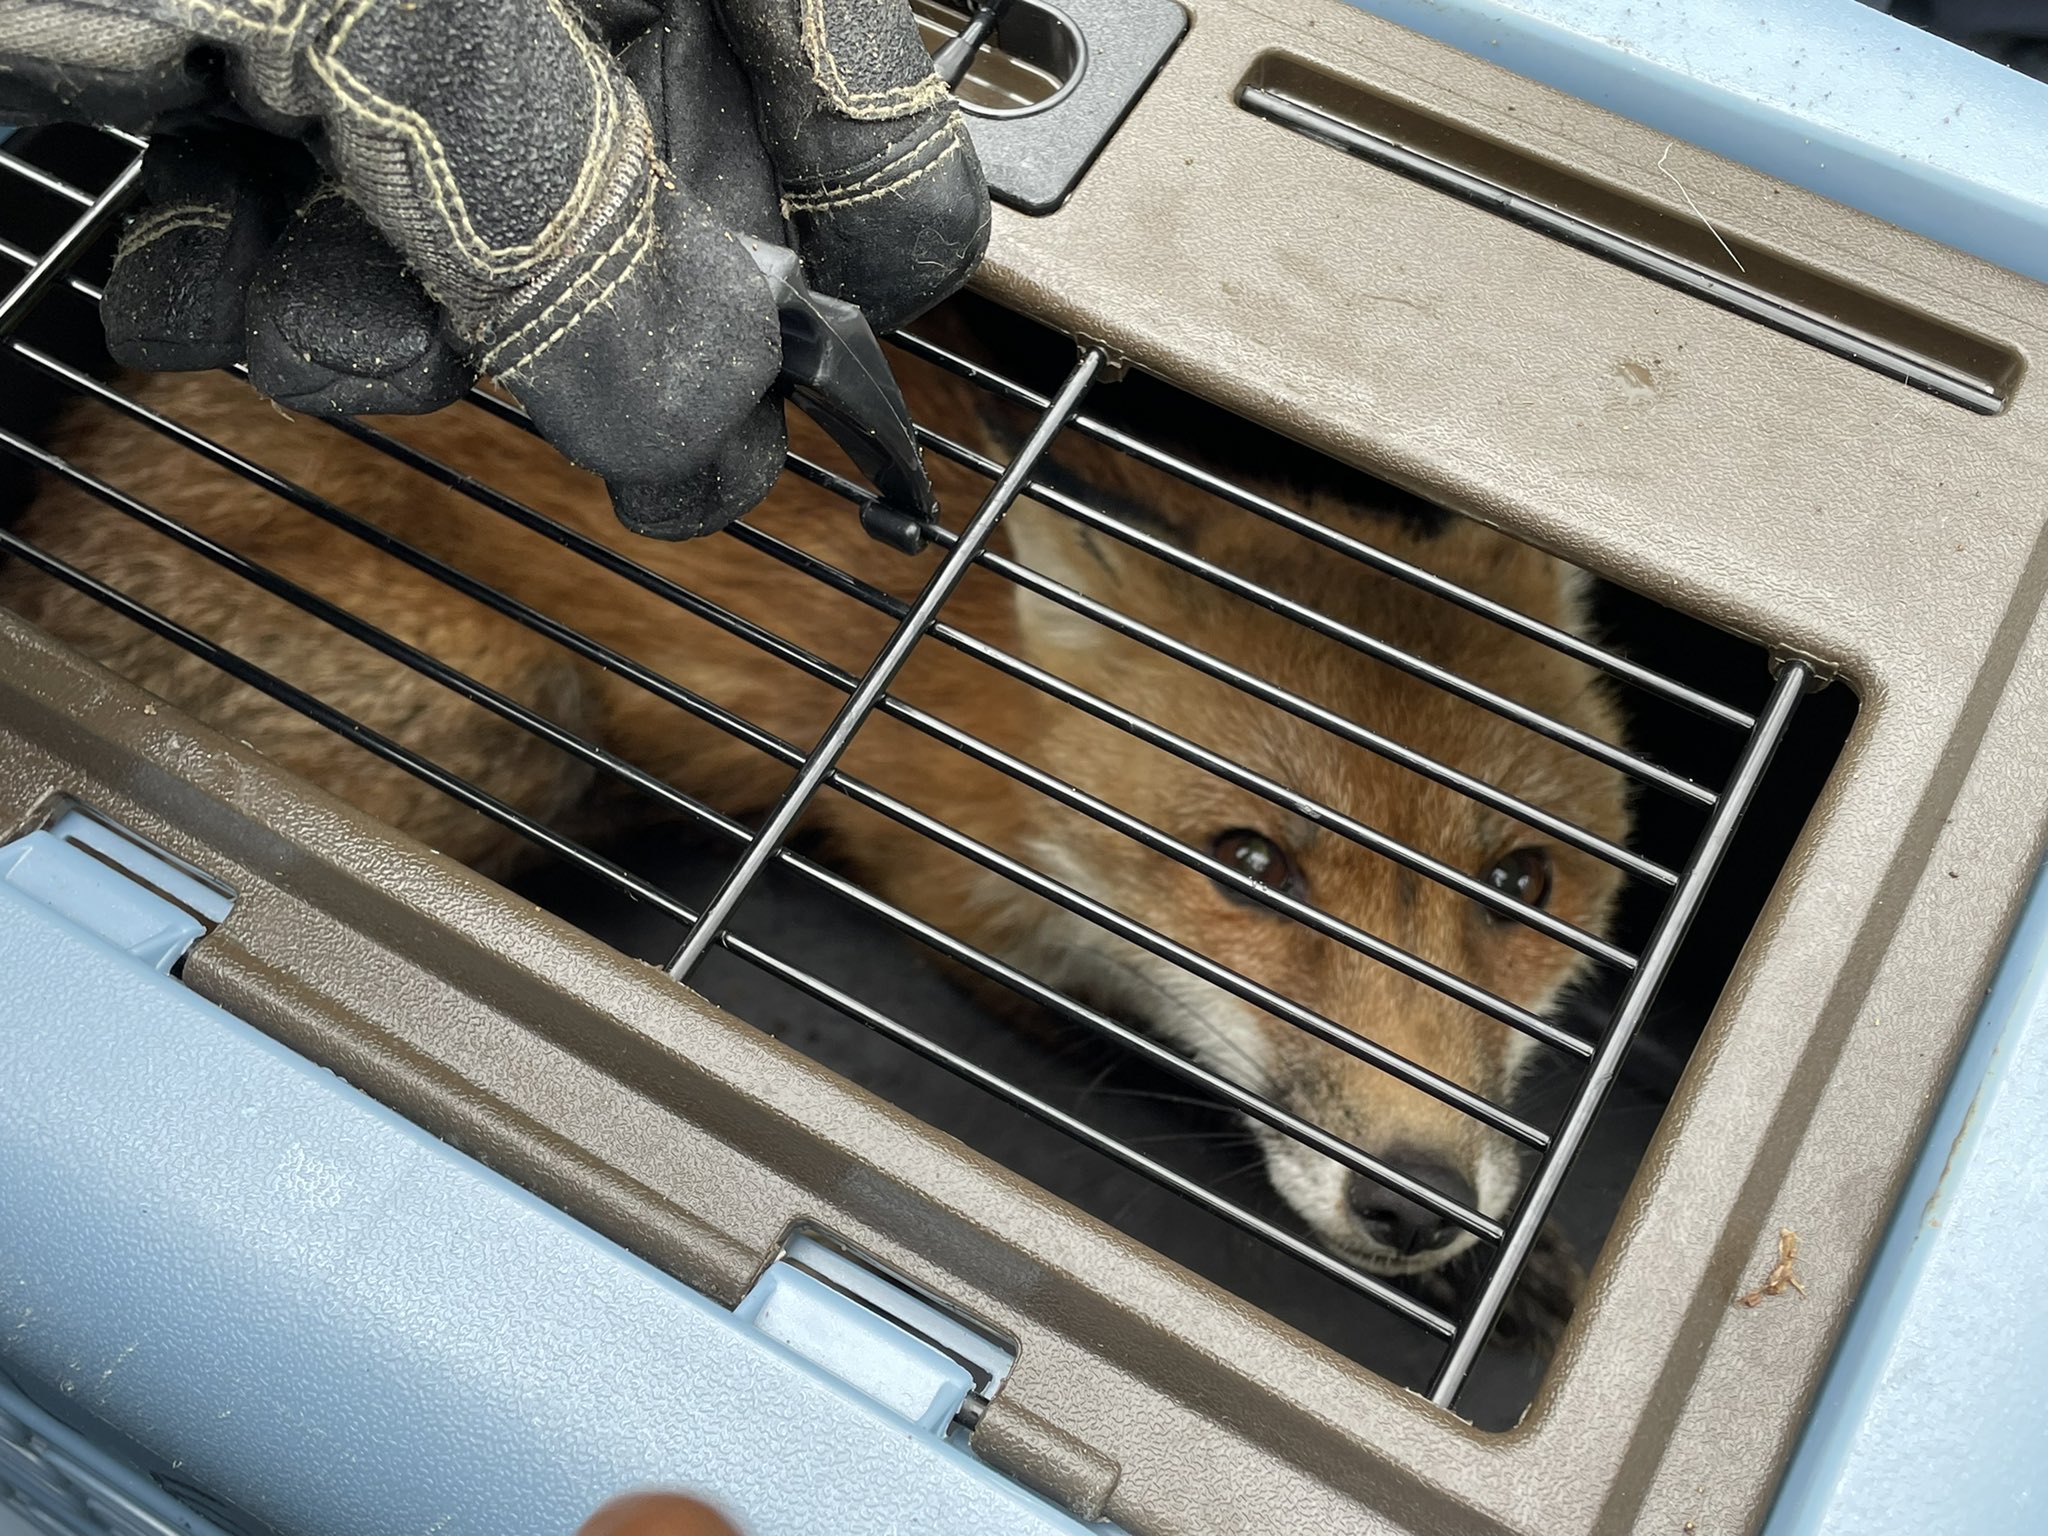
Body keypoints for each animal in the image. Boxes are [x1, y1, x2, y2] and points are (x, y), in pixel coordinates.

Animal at [0, 302, 1630, 1293]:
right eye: (1248, 864)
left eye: (1523, 885)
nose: (1415, 1201)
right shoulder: (968, 928)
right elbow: (1119, 1053)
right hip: (500, 708)